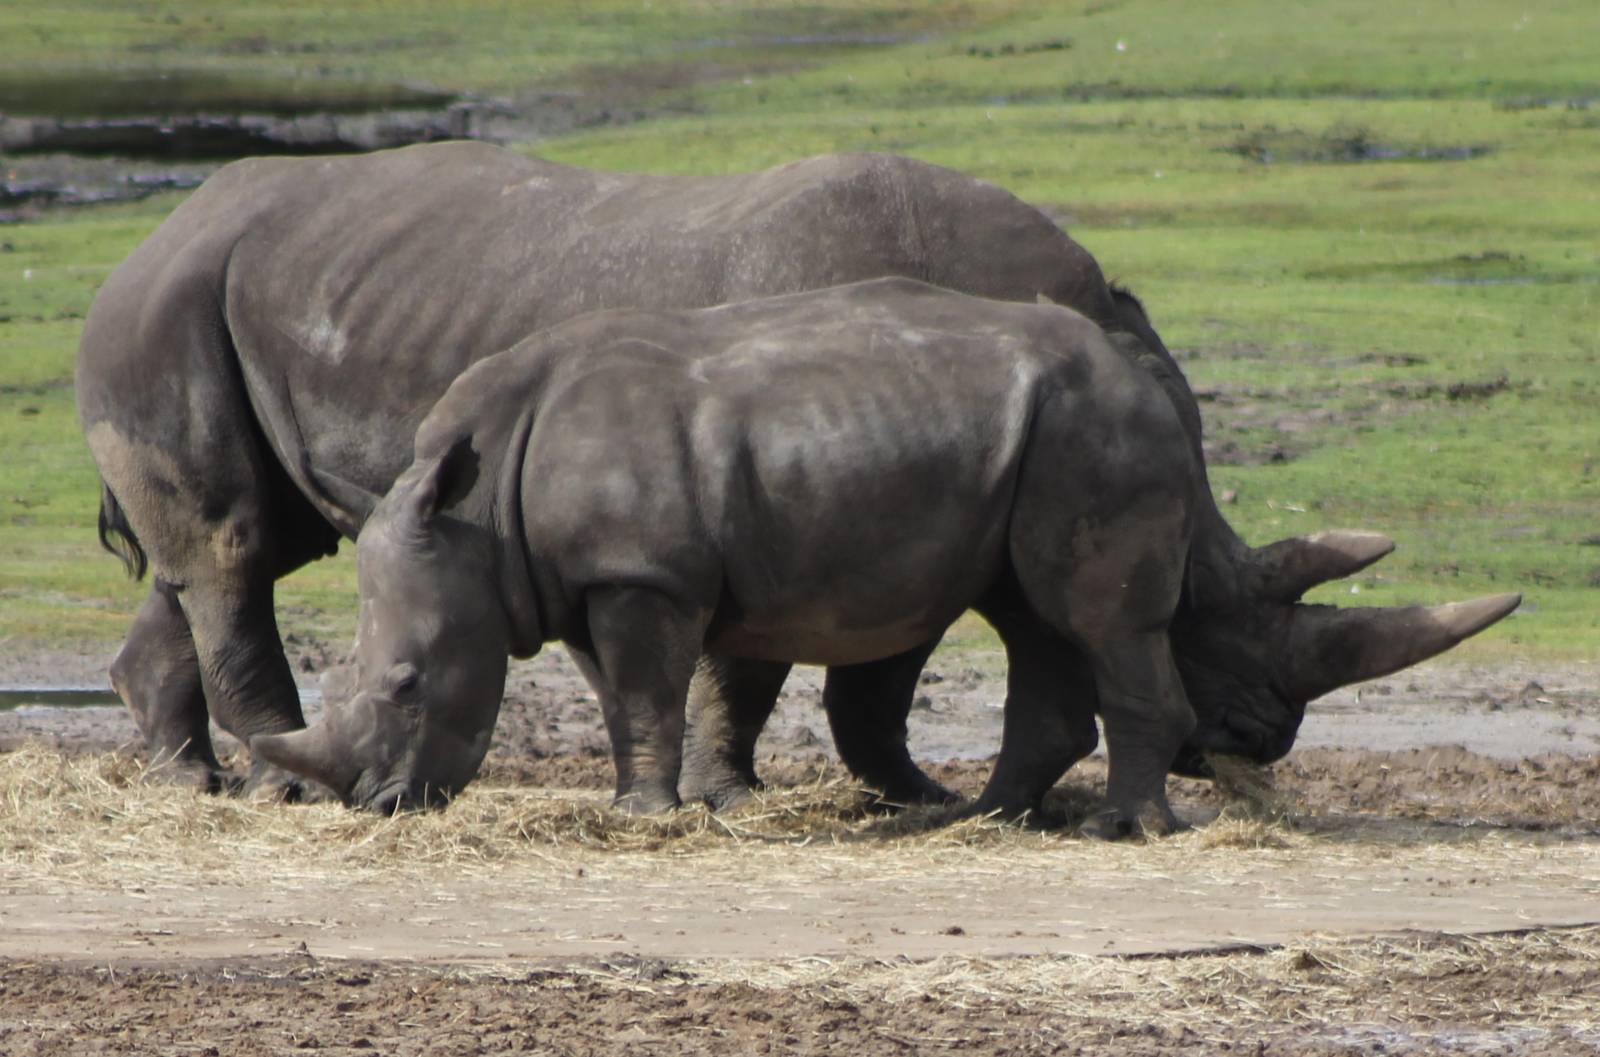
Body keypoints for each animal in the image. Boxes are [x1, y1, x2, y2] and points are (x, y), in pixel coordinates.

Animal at [78, 142, 1514, 807]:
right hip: (166, 306)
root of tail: (150, 230)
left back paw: (190, 778)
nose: (1263, 737)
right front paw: (762, 794)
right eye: (1215, 602)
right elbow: (799, 666)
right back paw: (258, 783)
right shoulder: (821, 495)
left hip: (226, 294)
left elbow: (817, 664)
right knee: (229, 552)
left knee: (229, 548)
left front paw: (897, 795)